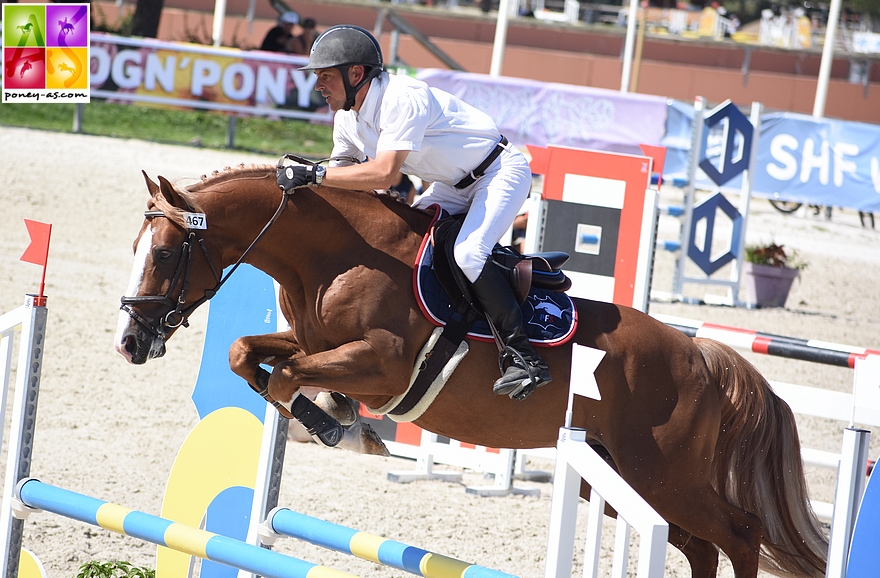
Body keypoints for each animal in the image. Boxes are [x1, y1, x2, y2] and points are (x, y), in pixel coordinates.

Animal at [113, 162, 828, 576]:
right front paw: (339, 419)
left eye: (167, 253)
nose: (129, 342)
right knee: (702, 545)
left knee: (741, 533)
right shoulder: (307, 341)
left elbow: (289, 379)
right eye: (136, 247)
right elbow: (248, 355)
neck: (334, 255)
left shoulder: (381, 366)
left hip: (664, 476)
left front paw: (344, 428)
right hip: (625, 482)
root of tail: (701, 357)